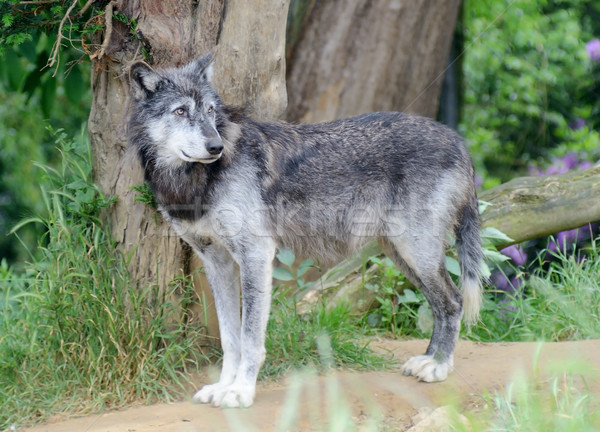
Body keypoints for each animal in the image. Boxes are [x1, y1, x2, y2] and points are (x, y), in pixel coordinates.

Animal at [127, 52, 482, 406]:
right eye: (181, 111)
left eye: (211, 111)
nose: (216, 146)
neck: (195, 180)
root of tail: (458, 140)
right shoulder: (217, 262)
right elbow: (230, 338)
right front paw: (222, 387)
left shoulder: (256, 255)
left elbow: (250, 337)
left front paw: (241, 392)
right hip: (402, 255)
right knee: (440, 304)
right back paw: (431, 359)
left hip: (416, 253)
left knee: (453, 301)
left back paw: (439, 366)